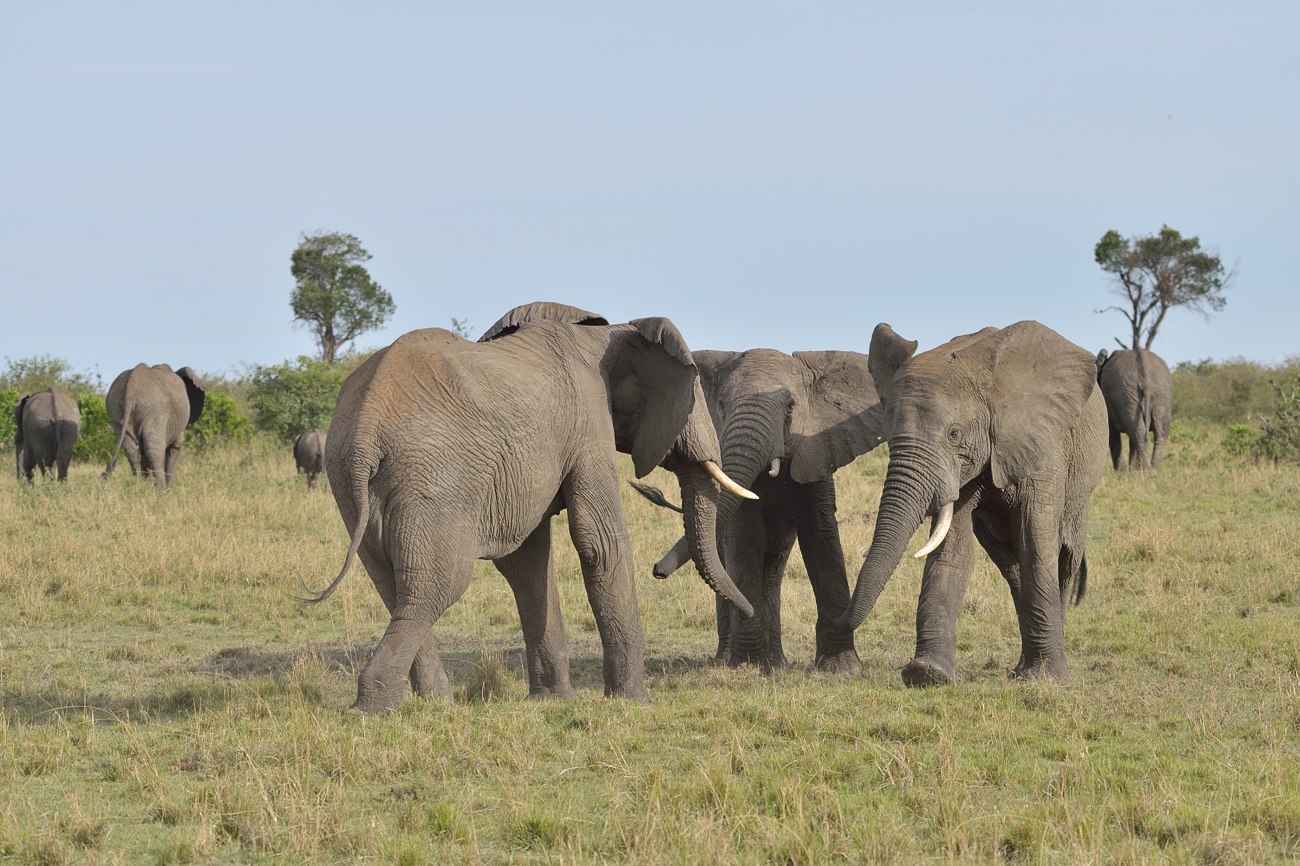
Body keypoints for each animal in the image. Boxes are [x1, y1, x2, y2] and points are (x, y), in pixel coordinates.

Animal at [313, 300, 759, 712]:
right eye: (696, 397)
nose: (750, 610)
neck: (609, 333)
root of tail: (367, 426)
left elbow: (528, 562)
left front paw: (551, 701)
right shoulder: (588, 419)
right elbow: (600, 543)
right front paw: (634, 702)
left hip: (349, 482)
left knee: (395, 589)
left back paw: (438, 706)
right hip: (435, 480)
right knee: (436, 586)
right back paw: (375, 710)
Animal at [637, 348, 883, 670]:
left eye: (790, 406)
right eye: (721, 405)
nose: (657, 571)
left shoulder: (815, 457)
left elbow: (822, 537)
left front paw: (842, 669)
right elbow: (745, 538)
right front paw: (750, 666)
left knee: (772, 569)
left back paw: (777, 662)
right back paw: (730, 659)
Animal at [832, 319, 1107, 686]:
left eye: (954, 435)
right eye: (888, 437)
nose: (835, 623)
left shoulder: (1041, 444)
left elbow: (1035, 542)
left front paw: (1046, 680)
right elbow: (951, 549)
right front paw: (926, 674)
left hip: (1080, 490)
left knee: (1063, 558)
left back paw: (1040, 667)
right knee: (1009, 563)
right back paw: (1021, 668)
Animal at [1092, 345, 1175, 473]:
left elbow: (1113, 434)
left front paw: (1122, 473)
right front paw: (1132, 470)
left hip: (1127, 392)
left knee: (1139, 432)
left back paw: (1147, 471)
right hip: (1157, 393)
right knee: (1158, 432)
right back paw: (1153, 470)